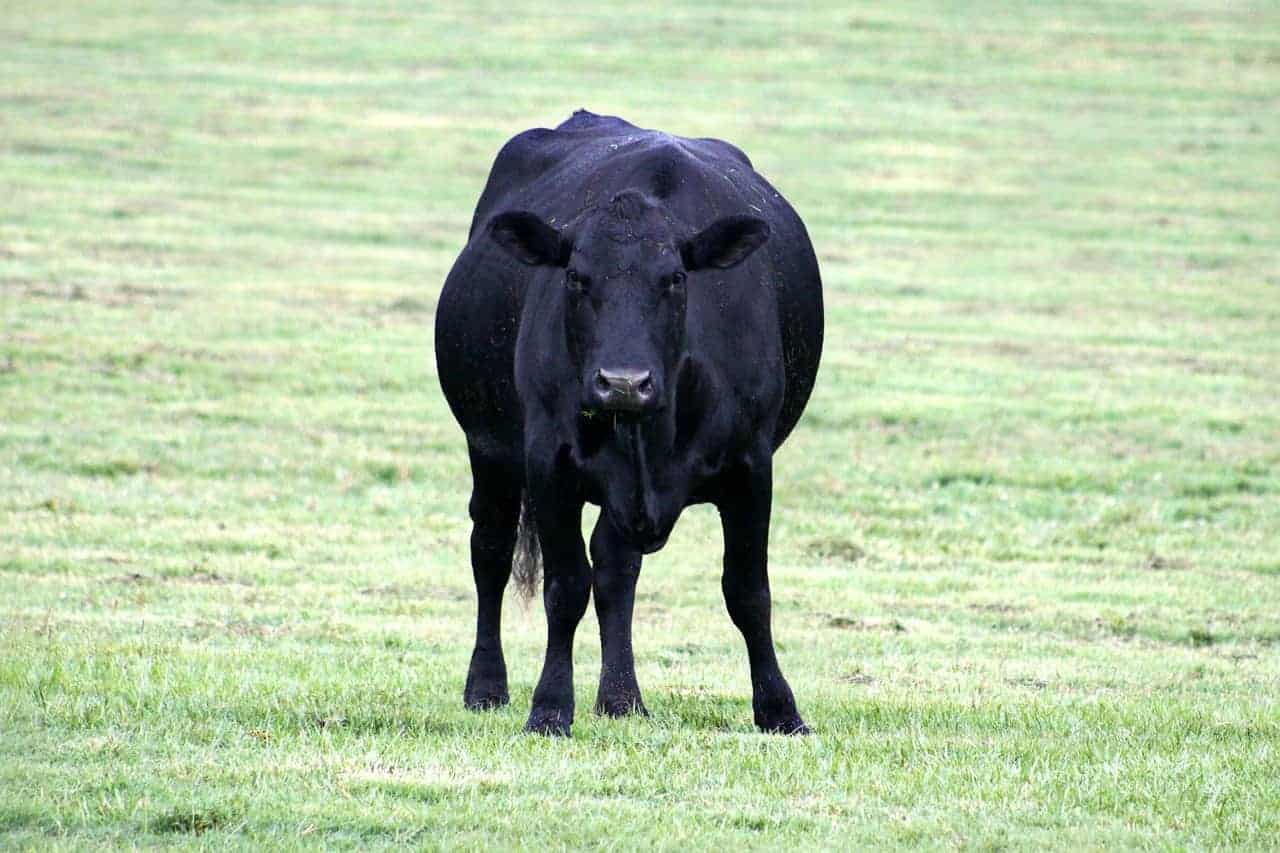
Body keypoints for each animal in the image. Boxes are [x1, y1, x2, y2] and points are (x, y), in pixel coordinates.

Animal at [435, 110, 823, 736]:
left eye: (676, 278)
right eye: (575, 277)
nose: (622, 382)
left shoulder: (751, 467)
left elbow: (747, 590)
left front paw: (780, 710)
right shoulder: (548, 465)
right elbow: (565, 586)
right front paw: (550, 707)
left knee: (617, 569)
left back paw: (622, 699)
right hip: (488, 449)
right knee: (490, 551)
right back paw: (487, 686)